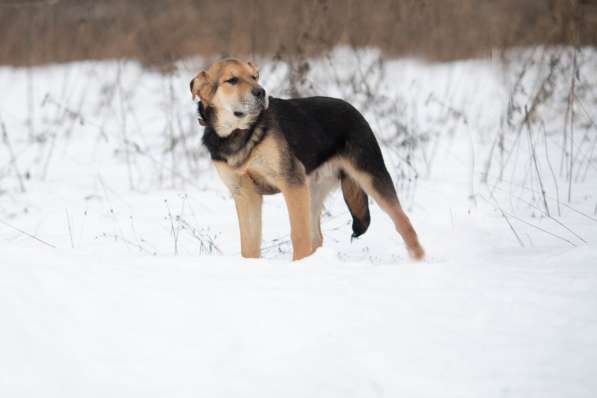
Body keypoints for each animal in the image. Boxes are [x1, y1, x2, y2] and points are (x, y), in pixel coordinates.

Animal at [189, 56, 422, 262]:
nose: (261, 92)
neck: (238, 133)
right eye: (232, 80)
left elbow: (298, 235)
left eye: (254, 77)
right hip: (311, 191)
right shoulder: (245, 194)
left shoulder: (291, 183)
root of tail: (354, 110)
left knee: (404, 222)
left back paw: (418, 260)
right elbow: (249, 245)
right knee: (317, 237)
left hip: (369, 176)